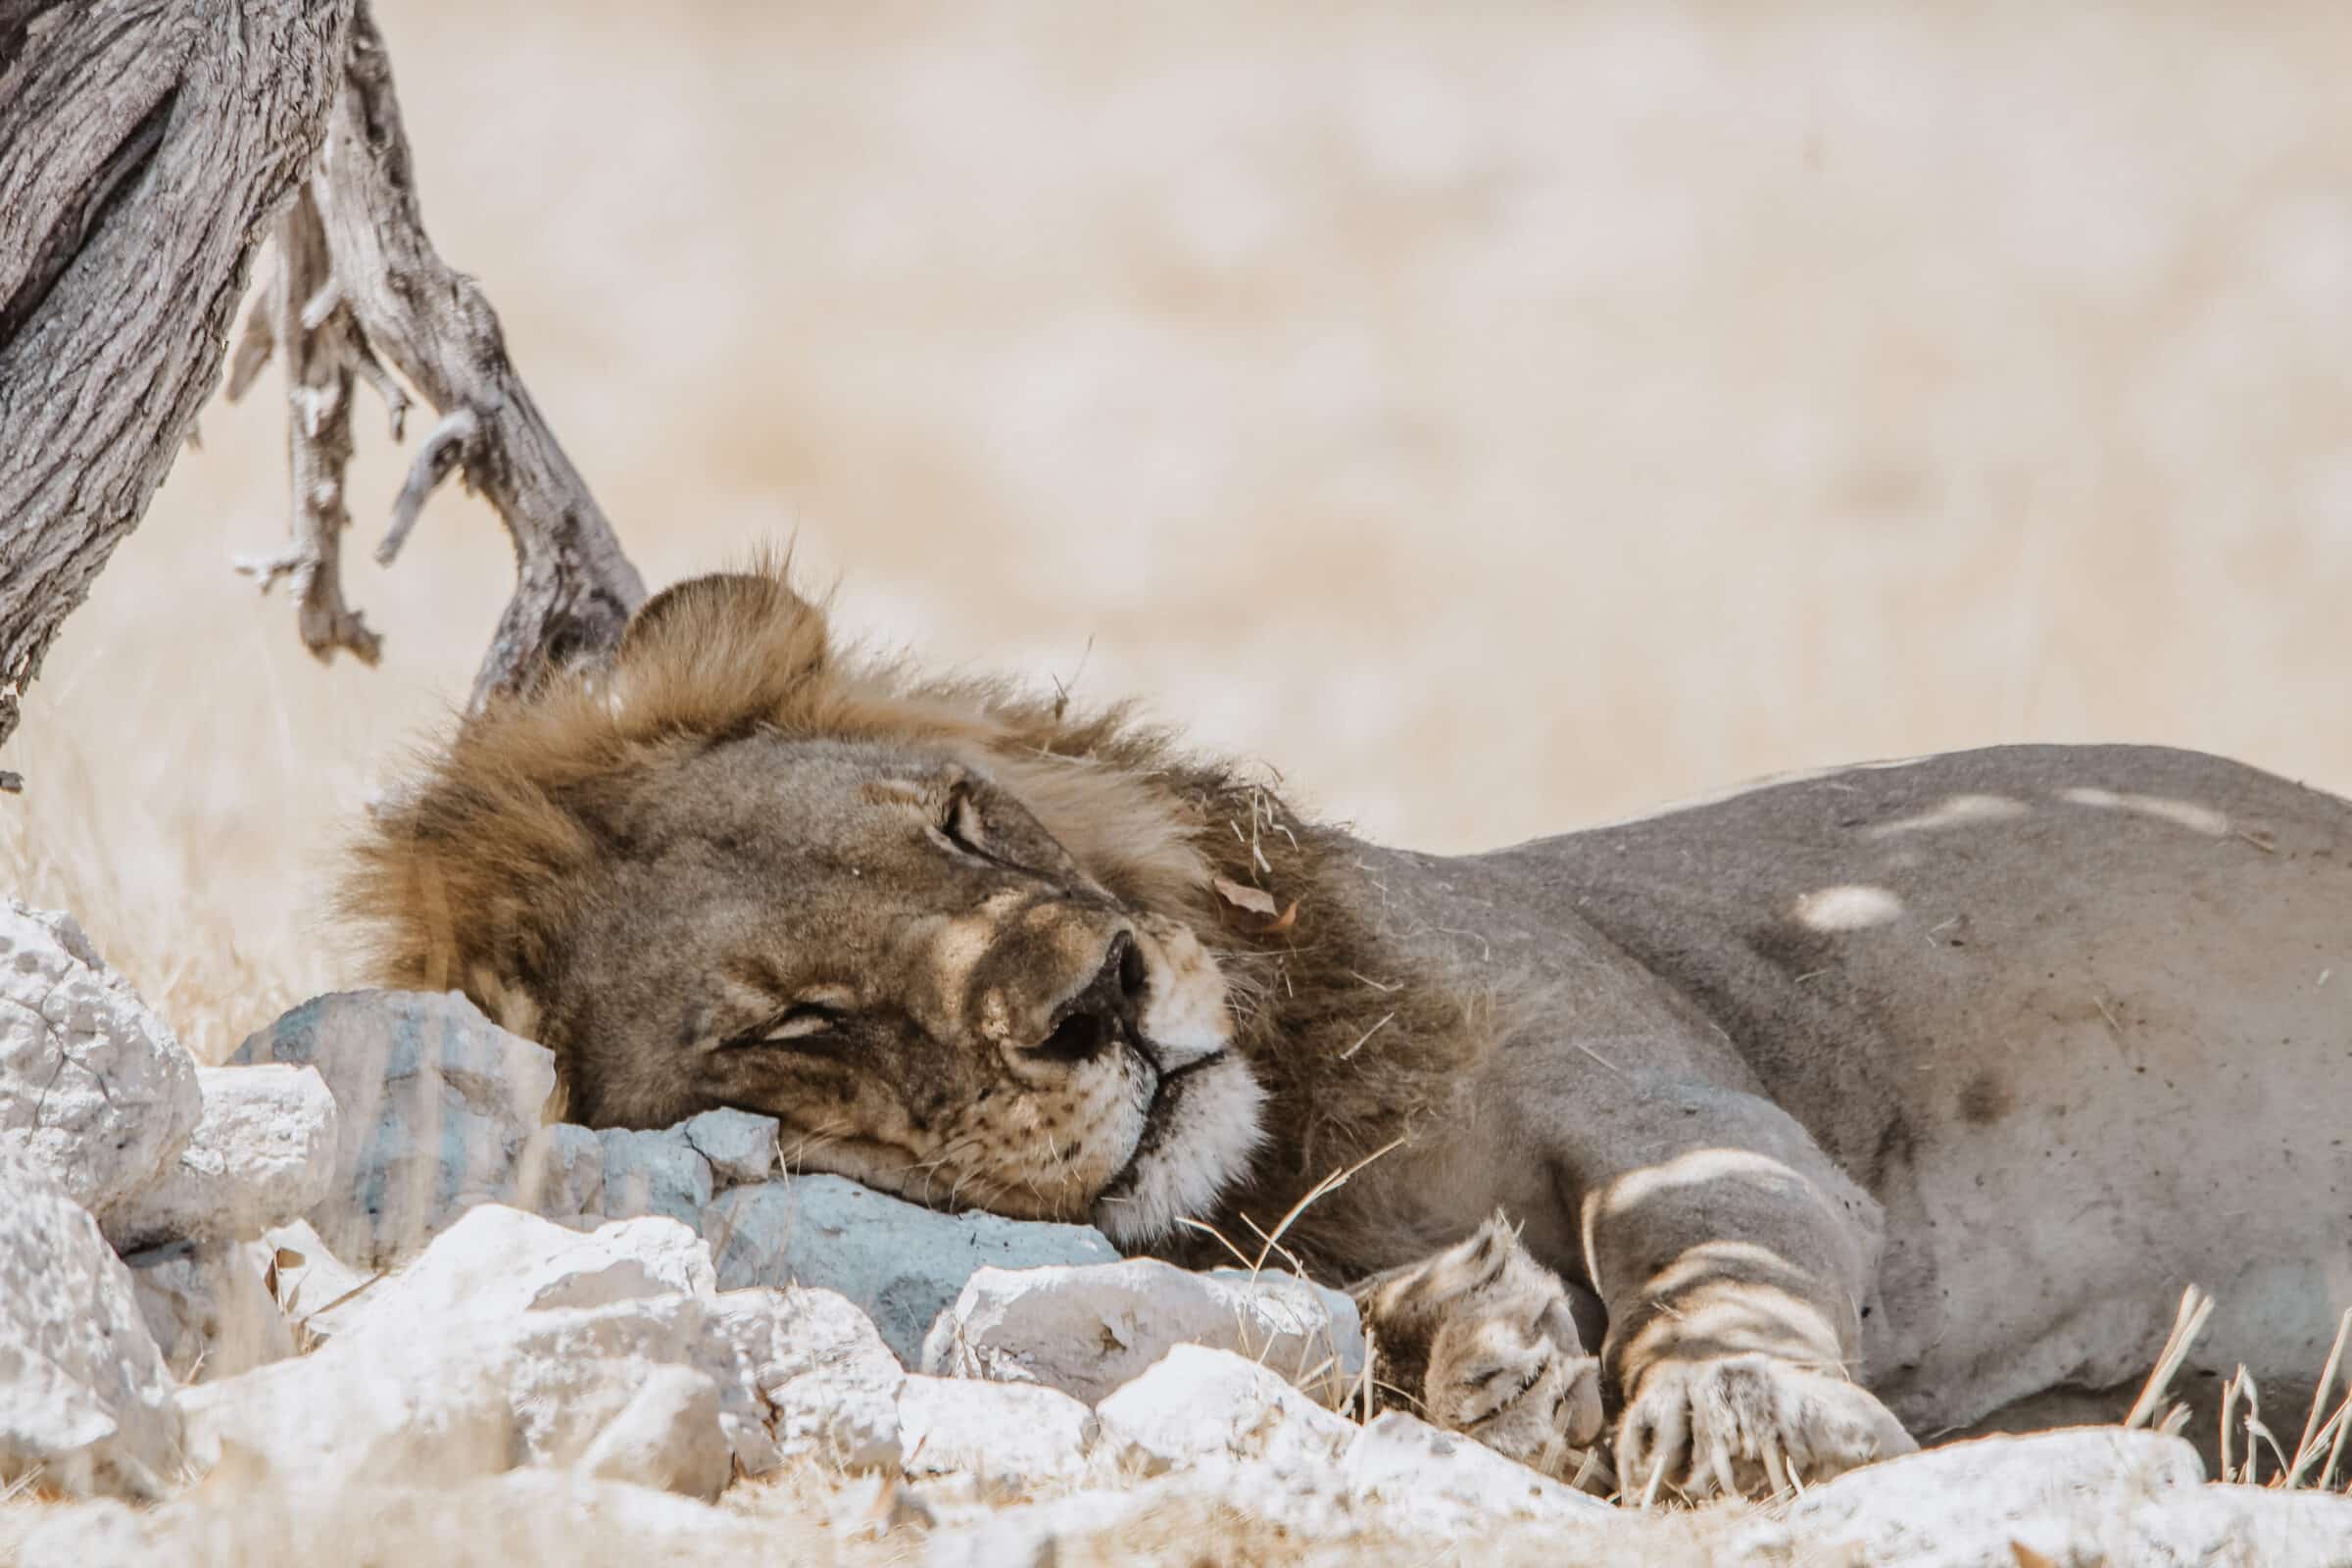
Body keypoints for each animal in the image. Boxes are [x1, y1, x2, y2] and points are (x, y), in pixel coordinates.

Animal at [343, 570, 2352, 1504]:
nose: (1097, 997)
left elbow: (1702, 1238)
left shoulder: (1656, 1080)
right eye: (799, 1022)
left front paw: (1738, 1407)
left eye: (963, 825)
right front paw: (1478, 1349)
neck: (1311, 1124)